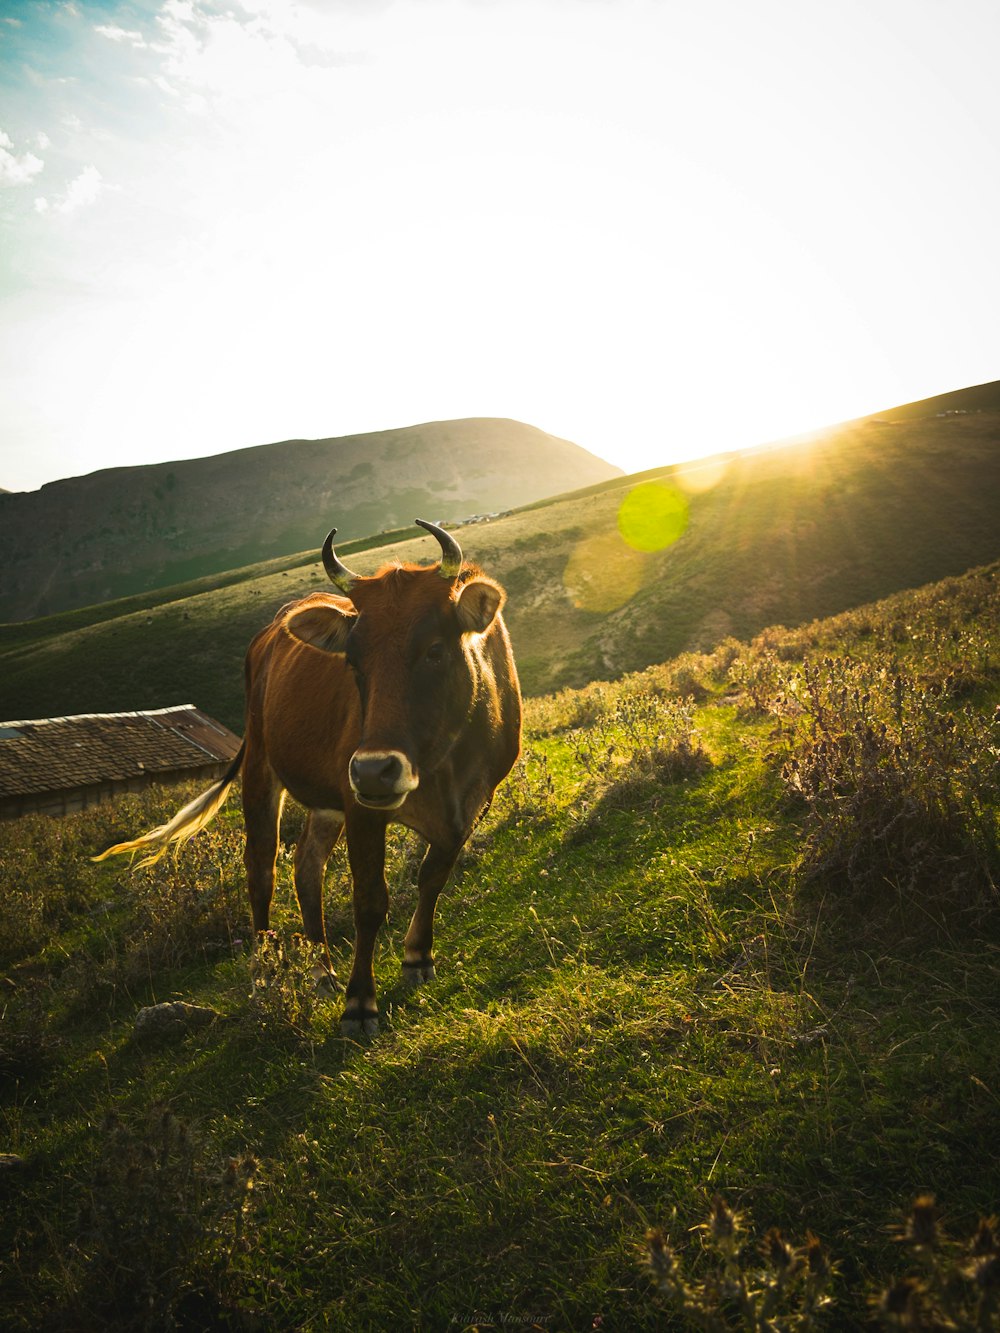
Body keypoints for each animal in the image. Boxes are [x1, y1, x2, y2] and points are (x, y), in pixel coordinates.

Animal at [96, 517, 525, 1029]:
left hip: (326, 802)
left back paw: (321, 970)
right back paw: (266, 972)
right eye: (353, 662)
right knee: (262, 869)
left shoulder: (475, 801)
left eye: (435, 650)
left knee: (307, 867)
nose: (375, 771)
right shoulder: (361, 808)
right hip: (263, 768)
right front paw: (360, 1002)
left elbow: (433, 876)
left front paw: (417, 957)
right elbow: (370, 900)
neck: (442, 767)